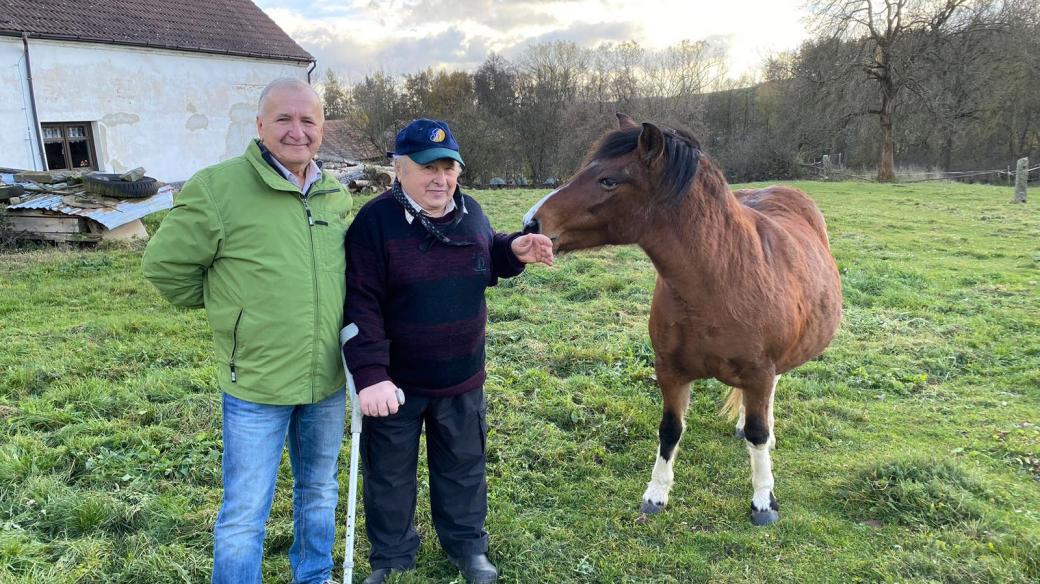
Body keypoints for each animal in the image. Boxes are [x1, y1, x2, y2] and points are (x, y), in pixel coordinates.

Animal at [524, 114, 840, 523]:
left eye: (608, 180)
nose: (531, 223)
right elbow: (670, 429)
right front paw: (656, 494)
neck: (720, 280)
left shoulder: (759, 372)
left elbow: (757, 432)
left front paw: (763, 500)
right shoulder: (670, 370)